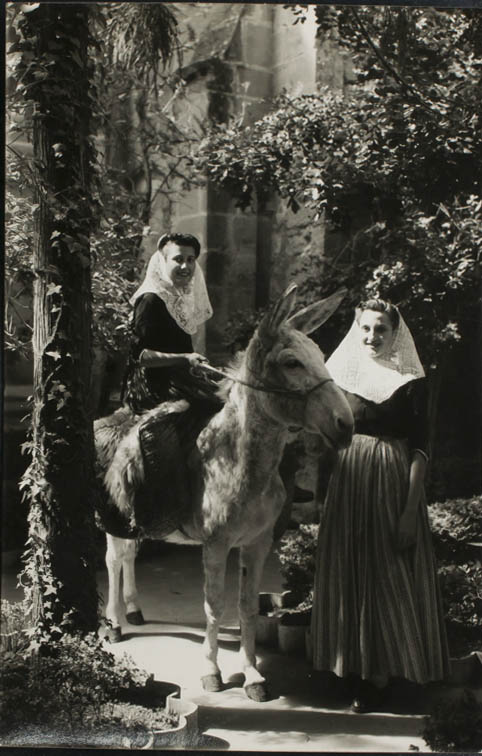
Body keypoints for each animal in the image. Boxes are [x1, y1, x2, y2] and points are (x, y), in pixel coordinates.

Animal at [94, 284, 354, 702]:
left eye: (319, 354)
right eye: (292, 362)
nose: (346, 423)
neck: (239, 461)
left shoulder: (258, 542)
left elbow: (246, 607)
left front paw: (253, 676)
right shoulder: (216, 544)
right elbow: (214, 606)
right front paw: (212, 672)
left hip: (136, 519)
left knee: (129, 554)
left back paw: (133, 609)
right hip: (113, 517)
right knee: (114, 558)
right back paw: (115, 622)